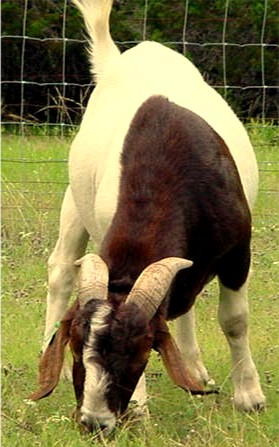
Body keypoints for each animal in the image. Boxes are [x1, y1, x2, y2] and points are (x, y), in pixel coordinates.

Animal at [29, 0, 266, 436]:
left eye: (138, 349)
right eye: (76, 346)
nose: (95, 421)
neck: (164, 162)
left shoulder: (239, 250)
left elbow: (234, 319)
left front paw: (249, 397)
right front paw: (140, 406)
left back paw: (195, 368)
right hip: (74, 200)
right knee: (61, 270)